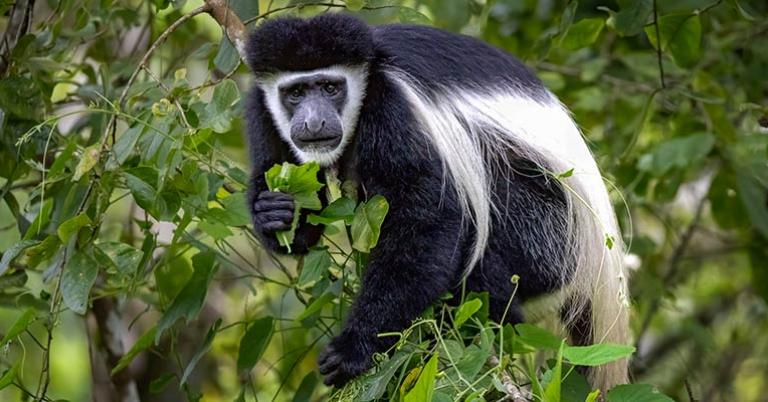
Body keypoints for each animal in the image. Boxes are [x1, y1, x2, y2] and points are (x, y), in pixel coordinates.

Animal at [244, 13, 629, 390]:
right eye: (295, 92)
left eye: (330, 87)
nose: (313, 122)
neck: (369, 77)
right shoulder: (261, 110)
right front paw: (277, 212)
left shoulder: (394, 108)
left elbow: (427, 222)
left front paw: (354, 349)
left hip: (551, 236)